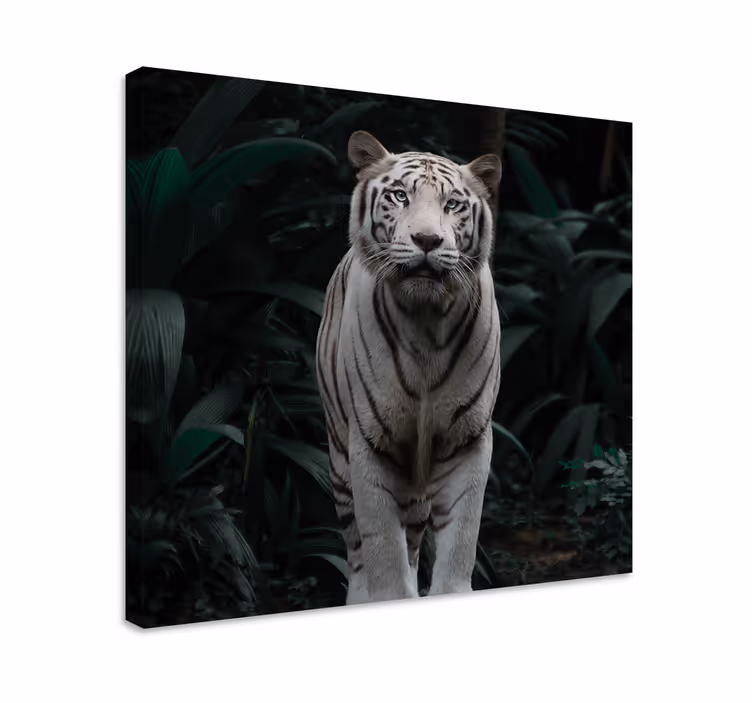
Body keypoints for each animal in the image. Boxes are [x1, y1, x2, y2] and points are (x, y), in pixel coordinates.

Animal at [315, 131, 502, 605]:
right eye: (400, 196)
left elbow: (460, 540)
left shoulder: (468, 439)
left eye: (452, 204)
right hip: (339, 459)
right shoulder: (370, 444)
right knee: (357, 552)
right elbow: (382, 551)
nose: (428, 240)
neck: (426, 323)